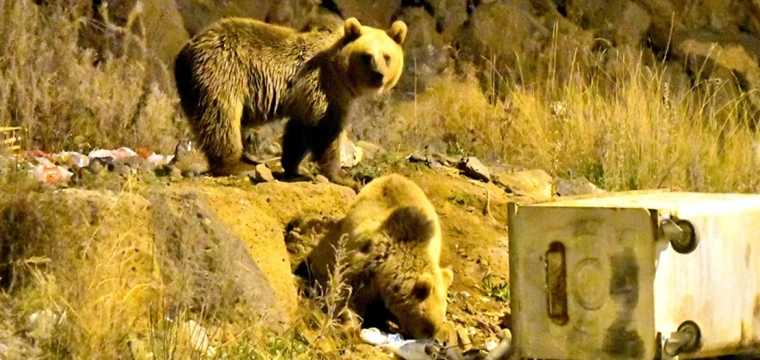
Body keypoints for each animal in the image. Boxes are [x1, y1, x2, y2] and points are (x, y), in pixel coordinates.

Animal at [174, 16, 406, 191]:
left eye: (387, 56)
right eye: (367, 56)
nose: (378, 75)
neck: (341, 73)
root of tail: (183, 52)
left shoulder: (306, 97)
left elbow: (298, 132)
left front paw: (294, 168)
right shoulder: (325, 88)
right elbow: (326, 132)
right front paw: (345, 177)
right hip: (222, 72)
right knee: (221, 119)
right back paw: (237, 164)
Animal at [300, 173, 454, 338]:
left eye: (435, 326)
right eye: (428, 325)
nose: (431, 338)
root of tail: (393, 175)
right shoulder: (366, 267)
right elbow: (349, 296)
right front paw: (349, 324)